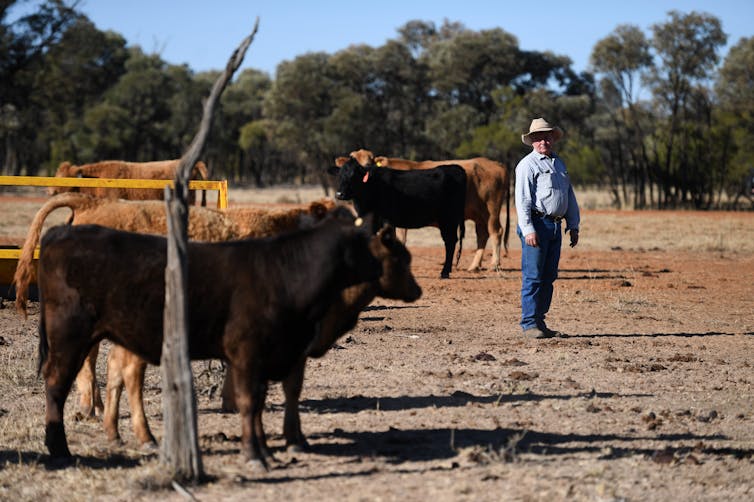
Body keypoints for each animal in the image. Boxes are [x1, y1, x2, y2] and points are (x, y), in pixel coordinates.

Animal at [35, 207, 378, 466]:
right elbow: (271, 389)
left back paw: (116, 432)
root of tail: (61, 233)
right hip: (77, 336)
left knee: (116, 371)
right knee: (82, 377)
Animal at [328, 156, 464, 278]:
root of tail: (454, 167)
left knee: (450, 242)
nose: (339, 194)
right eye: (339, 176)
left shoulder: (387, 221)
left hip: (448, 219)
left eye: (354, 176)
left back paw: (444, 272)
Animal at [340, 149, 512, 272]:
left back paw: (493, 264)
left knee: (496, 232)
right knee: (482, 235)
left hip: (490, 211)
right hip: (478, 215)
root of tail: (497, 164)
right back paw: (474, 266)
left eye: (369, 161)